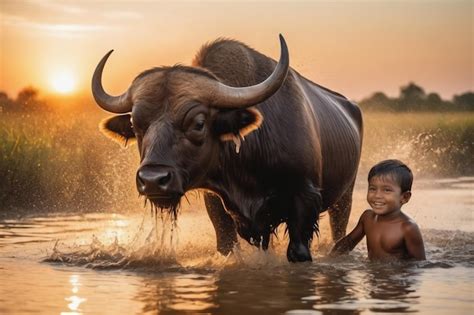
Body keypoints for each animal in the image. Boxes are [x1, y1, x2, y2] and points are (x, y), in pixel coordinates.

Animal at [91, 34, 362, 262]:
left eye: (199, 123)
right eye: (136, 124)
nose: (153, 180)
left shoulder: (305, 198)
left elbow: (298, 252)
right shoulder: (217, 204)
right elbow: (227, 246)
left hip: (344, 198)